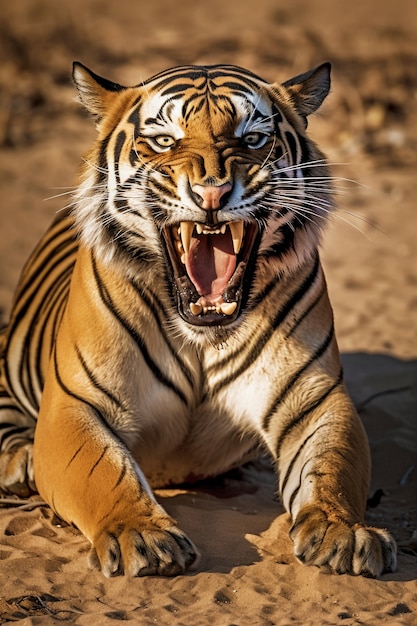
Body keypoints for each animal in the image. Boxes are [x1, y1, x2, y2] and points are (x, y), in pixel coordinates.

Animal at [0, 59, 396, 576]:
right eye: (165, 140)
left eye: (253, 138)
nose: (213, 192)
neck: (203, 335)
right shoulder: (78, 403)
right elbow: (103, 473)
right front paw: (140, 535)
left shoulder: (315, 399)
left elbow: (333, 468)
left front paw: (343, 532)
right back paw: (21, 461)